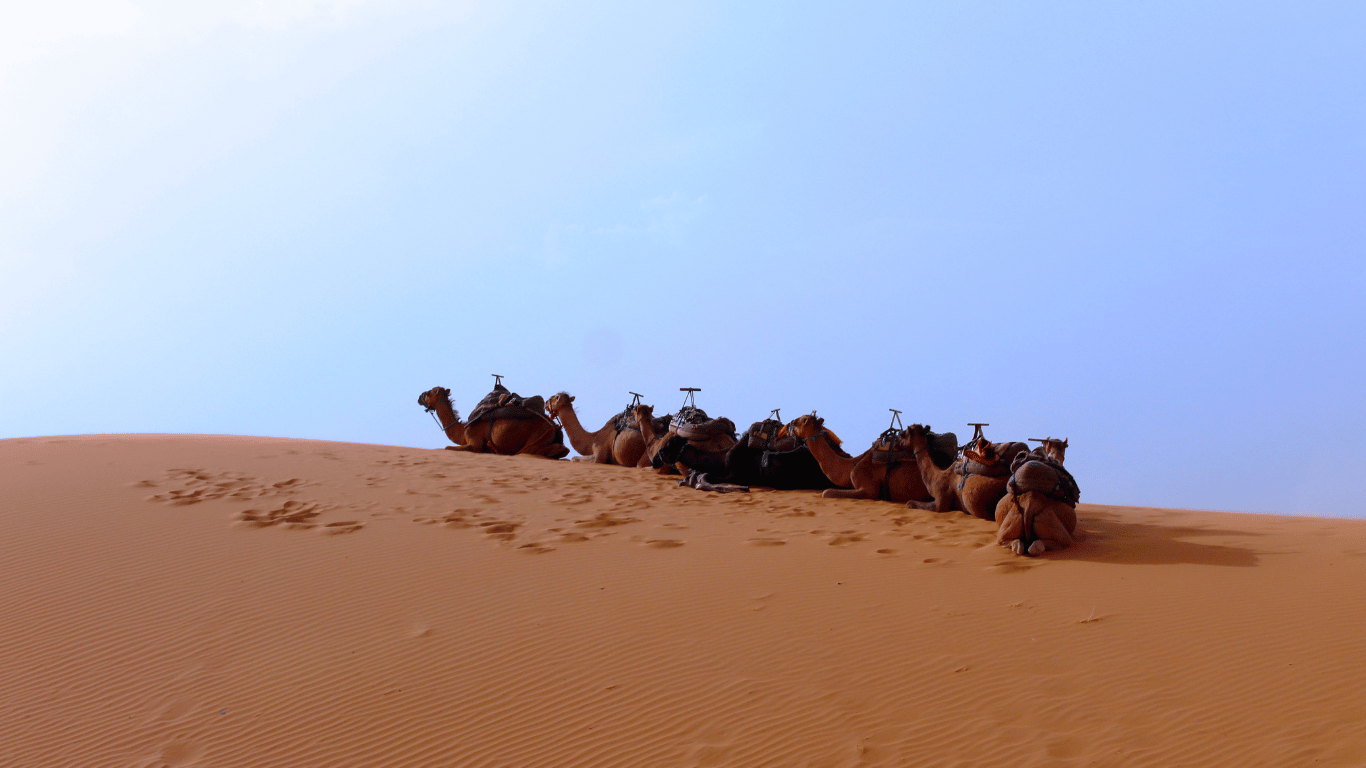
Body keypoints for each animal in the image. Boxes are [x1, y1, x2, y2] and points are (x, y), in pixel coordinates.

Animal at [412, 385, 568, 456]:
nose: (419, 397)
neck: (462, 430)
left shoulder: (474, 443)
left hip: (538, 435)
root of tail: (554, 426)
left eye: (429, 393)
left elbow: (446, 448)